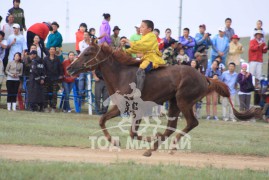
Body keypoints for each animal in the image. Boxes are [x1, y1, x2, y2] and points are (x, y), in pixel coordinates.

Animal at [67, 41, 258, 156]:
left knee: (191, 123)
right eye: (82, 51)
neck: (121, 74)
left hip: (183, 101)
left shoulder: (137, 109)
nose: (69, 68)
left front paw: (148, 138)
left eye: (87, 53)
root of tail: (205, 77)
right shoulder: (121, 107)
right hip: (174, 103)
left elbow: (133, 132)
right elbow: (102, 120)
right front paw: (115, 141)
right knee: (172, 126)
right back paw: (154, 147)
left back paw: (168, 145)